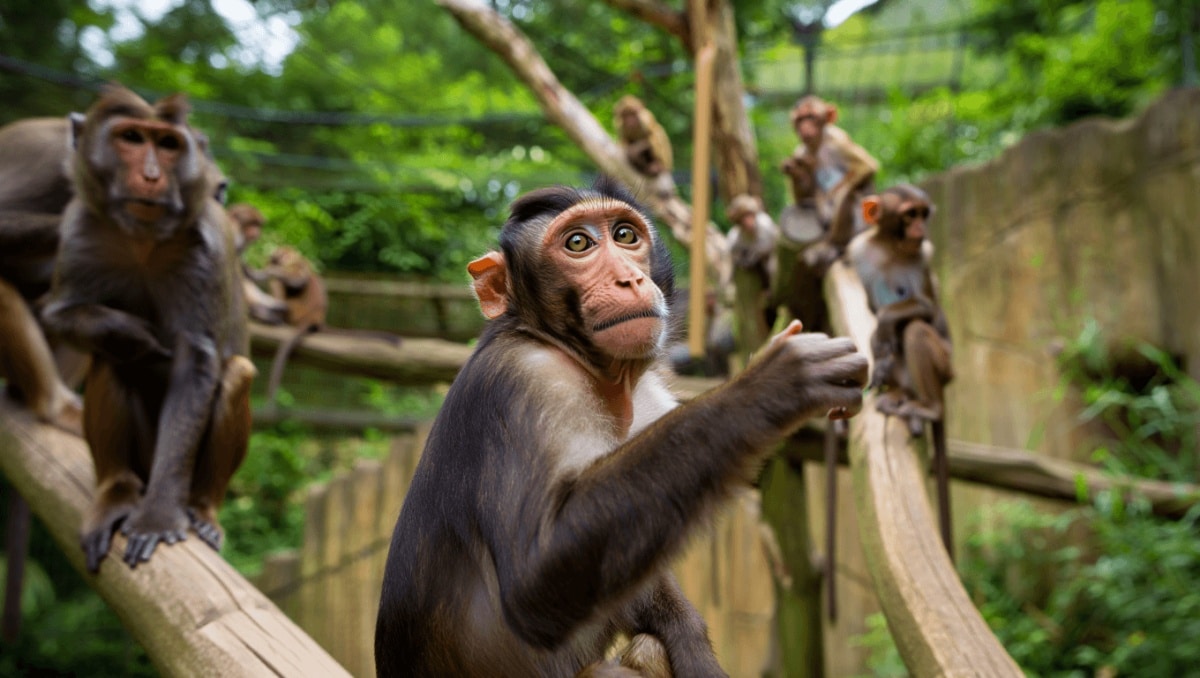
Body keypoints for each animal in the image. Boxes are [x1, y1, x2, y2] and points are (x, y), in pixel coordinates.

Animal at [39, 84, 255, 573]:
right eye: (132, 138)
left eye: (169, 144)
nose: (153, 176)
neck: (141, 239)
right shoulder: (79, 228)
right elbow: (62, 315)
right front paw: (132, 331)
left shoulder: (205, 249)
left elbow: (197, 362)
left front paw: (158, 517)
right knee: (109, 358)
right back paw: (116, 491)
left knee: (237, 372)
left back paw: (202, 510)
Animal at [374, 177, 868, 677]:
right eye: (578, 243)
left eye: (626, 236)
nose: (629, 278)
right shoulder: (519, 383)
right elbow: (535, 579)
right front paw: (774, 383)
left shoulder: (647, 401)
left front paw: (691, 643)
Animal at [846, 183, 955, 557]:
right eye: (910, 214)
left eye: (923, 213)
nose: (920, 228)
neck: (889, 247)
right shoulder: (858, 251)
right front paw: (878, 345)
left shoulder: (924, 255)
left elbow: (925, 307)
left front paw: (884, 324)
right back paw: (896, 391)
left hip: (945, 364)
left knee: (916, 331)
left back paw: (928, 406)